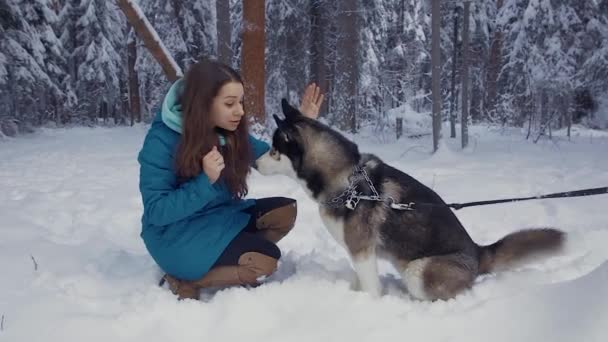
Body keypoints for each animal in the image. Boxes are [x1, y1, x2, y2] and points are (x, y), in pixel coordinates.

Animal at [256, 98, 564, 300]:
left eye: (274, 150)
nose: (254, 164)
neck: (347, 180)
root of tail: (479, 253)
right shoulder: (358, 252)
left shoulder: (362, 250)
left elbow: (371, 289)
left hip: (419, 270)